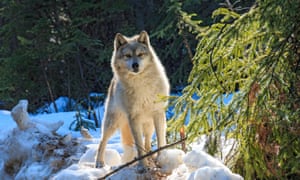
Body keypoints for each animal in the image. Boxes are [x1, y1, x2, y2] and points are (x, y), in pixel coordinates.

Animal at [95, 31, 170, 173]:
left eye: (140, 54)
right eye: (128, 56)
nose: (135, 65)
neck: (141, 85)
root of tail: (113, 82)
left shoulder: (158, 113)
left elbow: (160, 140)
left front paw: (162, 158)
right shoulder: (133, 118)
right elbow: (139, 145)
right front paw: (143, 166)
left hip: (149, 125)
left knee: (147, 142)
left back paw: (151, 156)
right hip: (113, 122)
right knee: (102, 141)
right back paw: (99, 163)